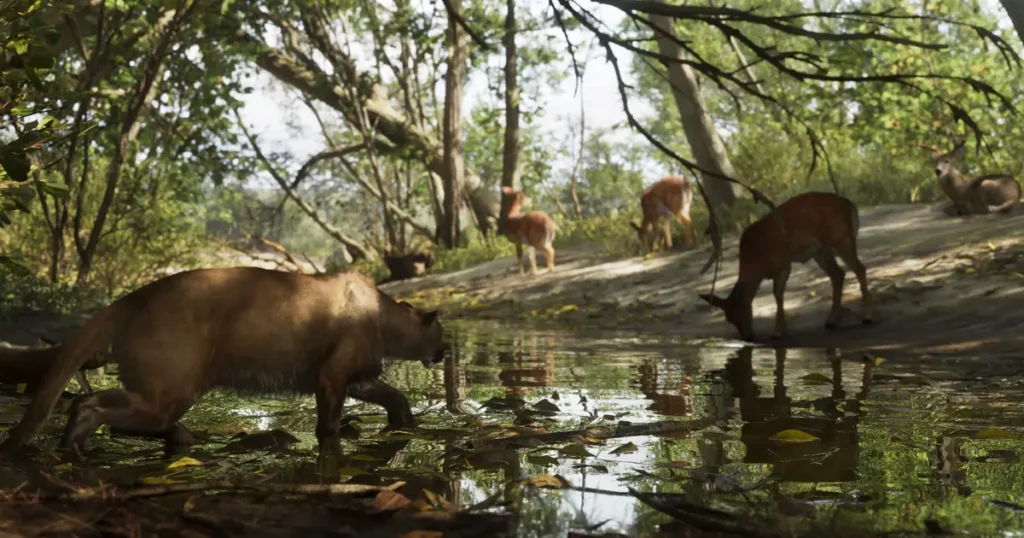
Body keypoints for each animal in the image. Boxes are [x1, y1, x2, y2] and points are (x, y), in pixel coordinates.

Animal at [699, 192, 873, 342]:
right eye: (729, 319)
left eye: (742, 309)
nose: (748, 337)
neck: (756, 262)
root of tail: (849, 204)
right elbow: (779, 295)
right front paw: (782, 329)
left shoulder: (783, 263)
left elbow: (777, 294)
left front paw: (777, 332)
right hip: (821, 250)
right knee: (838, 274)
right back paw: (831, 321)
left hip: (841, 238)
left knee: (859, 268)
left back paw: (867, 317)